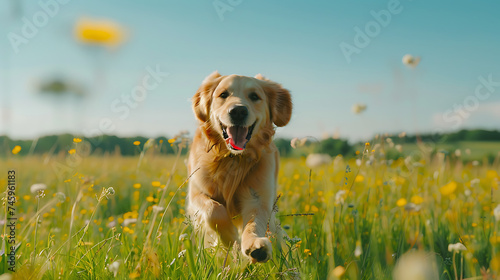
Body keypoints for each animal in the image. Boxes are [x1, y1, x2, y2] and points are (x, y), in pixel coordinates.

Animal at [186, 71, 292, 262]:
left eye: (254, 96)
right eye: (223, 95)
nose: (238, 111)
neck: (232, 159)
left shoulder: (258, 198)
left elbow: (253, 224)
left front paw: (255, 246)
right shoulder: (197, 193)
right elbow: (214, 211)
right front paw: (230, 238)